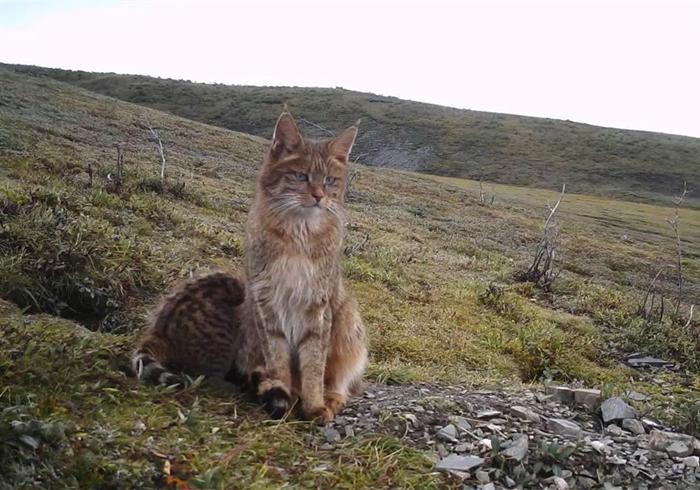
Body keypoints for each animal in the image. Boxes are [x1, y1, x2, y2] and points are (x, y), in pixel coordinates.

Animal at [234, 110, 370, 422]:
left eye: (330, 180)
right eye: (300, 176)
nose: (319, 196)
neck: (299, 235)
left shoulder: (318, 308)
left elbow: (314, 366)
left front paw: (314, 404)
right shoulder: (266, 307)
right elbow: (279, 362)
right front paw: (285, 396)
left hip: (348, 321)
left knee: (341, 379)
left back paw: (332, 398)